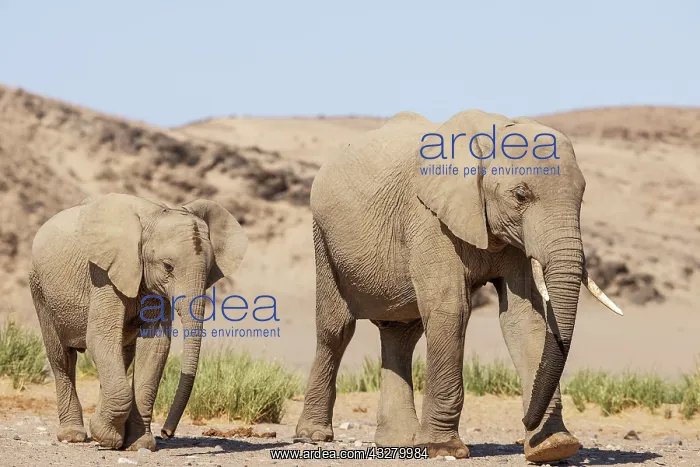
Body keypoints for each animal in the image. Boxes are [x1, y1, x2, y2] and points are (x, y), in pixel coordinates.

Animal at [28, 193, 247, 450]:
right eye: (167, 266)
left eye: (210, 268)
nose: (167, 432)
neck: (154, 217)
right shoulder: (104, 274)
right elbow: (100, 337)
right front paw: (107, 437)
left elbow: (155, 346)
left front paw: (138, 444)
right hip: (39, 288)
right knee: (62, 359)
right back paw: (73, 436)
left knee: (122, 357)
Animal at [295, 110, 622, 463]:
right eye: (521, 195)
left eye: (582, 197)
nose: (524, 420)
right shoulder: (429, 219)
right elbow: (452, 310)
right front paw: (443, 449)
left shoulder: (514, 238)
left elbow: (523, 318)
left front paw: (554, 446)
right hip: (323, 236)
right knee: (336, 331)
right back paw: (315, 435)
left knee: (401, 334)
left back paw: (401, 442)